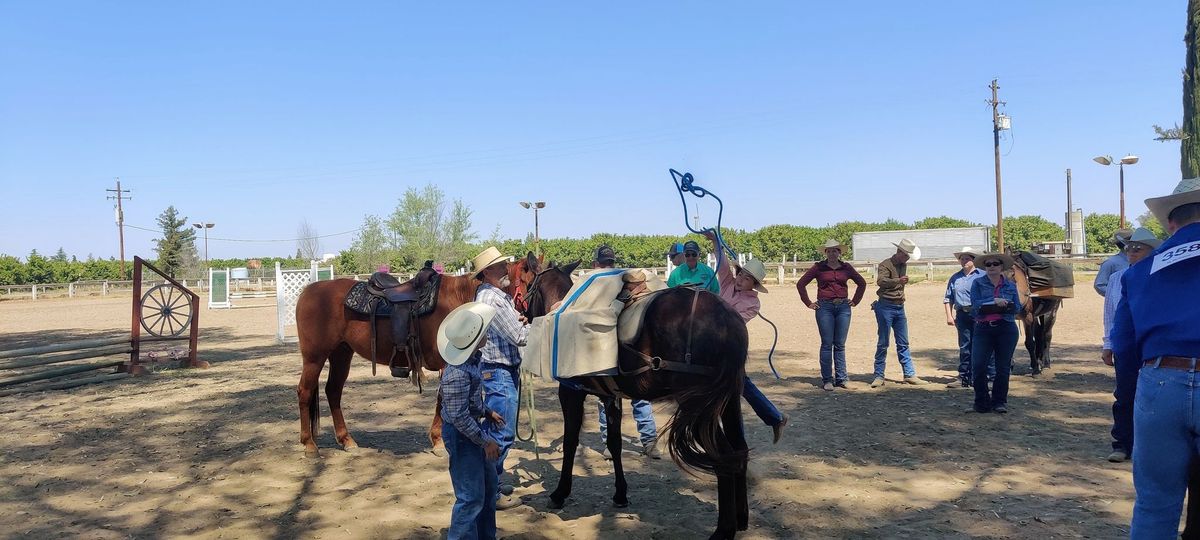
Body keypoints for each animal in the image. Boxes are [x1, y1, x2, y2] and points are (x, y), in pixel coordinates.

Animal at [292, 274, 480, 456]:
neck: (457, 300)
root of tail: (308, 291)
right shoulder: (447, 364)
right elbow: (444, 398)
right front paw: (439, 442)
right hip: (314, 358)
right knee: (305, 391)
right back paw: (309, 444)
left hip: (341, 354)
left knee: (333, 391)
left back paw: (346, 440)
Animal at [525, 258, 748, 540]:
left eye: (528, 285)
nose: (521, 311)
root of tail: (727, 319)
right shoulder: (610, 396)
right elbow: (614, 443)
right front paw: (620, 493)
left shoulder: (570, 392)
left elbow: (570, 442)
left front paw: (560, 492)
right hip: (728, 401)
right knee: (739, 449)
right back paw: (741, 519)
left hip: (699, 407)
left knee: (725, 458)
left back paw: (724, 530)